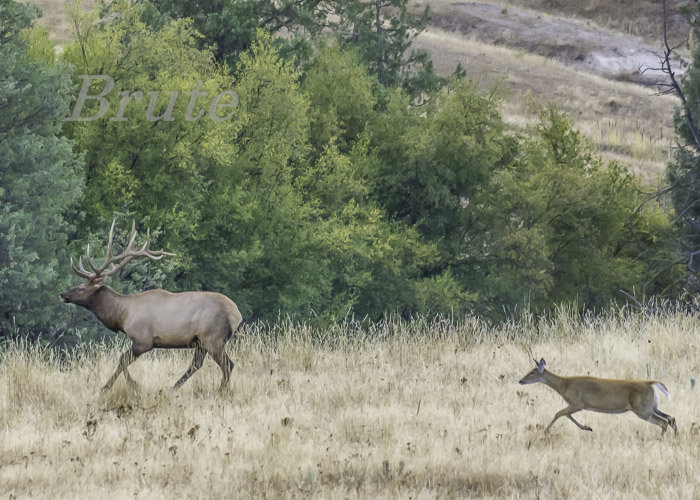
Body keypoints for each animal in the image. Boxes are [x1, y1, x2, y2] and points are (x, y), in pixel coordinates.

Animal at [60, 222, 246, 390]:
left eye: (82, 288)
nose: (63, 294)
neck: (122, 316)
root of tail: (236, 315)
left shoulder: (144, 340)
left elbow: (122, 359)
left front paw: (122, 386)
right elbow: (122, 360)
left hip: (213, 338)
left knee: (227, 365)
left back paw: (220, 390)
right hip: (201, 341)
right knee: (197, 364)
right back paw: (172, 388)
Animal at [516, 358, 676, 436]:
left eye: (532, 372)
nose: (520, 380)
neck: (564, 386)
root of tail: (650, 383)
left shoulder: (577, 403)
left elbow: (559, 413)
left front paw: (546, 431)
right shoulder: (576, 405)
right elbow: (567, 416)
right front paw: (588, 428)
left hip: (641, 409)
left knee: (663, 422)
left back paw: (661, 439)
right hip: (651, 406)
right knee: (671, 418)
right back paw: (676, 436)